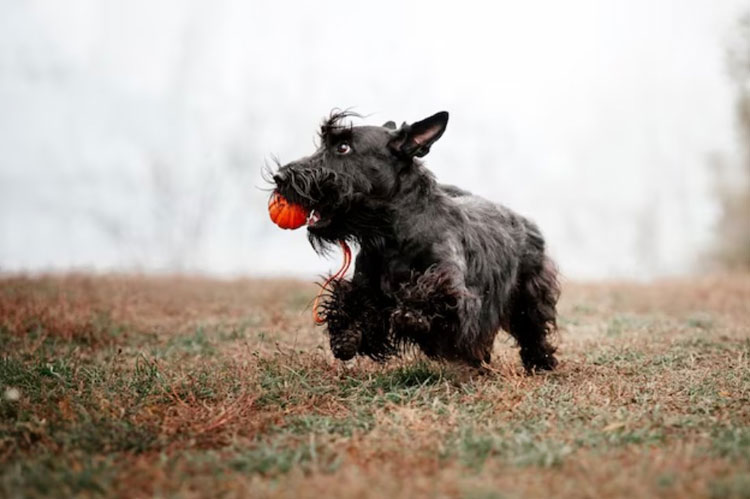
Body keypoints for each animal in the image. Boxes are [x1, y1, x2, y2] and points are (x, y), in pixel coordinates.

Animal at [274, 112, 560, 372]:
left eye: (343, 147)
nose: (280, 177)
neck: (391, 235)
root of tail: (523, 220)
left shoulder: (455, 289)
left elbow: (430, 294)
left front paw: (410, 315)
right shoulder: (365, 286)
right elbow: (351, 302)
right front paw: (346, 338)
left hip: (528, 293)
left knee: (532, 330)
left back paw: (540, 363)